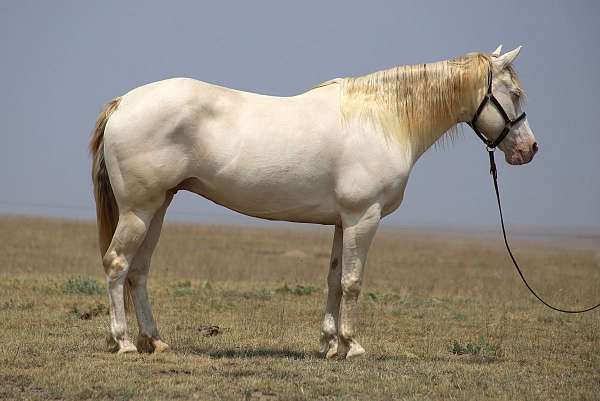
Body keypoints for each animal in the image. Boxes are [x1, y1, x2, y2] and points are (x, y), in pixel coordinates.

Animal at [90, 45, 540, 358]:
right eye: (516, 94)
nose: (529, 149)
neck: (382, 120)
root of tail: (123, 103)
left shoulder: (344, 222)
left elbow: (334, 280)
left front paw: (328, 345)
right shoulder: (364, 217)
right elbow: (354, 283)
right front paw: (353, 347)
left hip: (159, 206)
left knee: (139, 271)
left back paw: (155, 341)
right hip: (139, 209)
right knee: (117, 264)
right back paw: (124, 342)